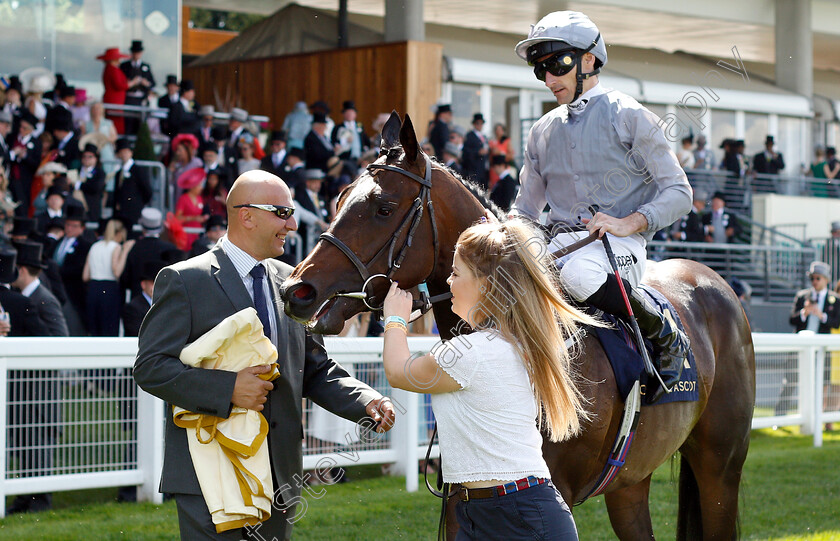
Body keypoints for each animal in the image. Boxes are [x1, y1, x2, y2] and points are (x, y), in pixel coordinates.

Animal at [280, 112, 756, 536]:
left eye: (383, 207)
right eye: (339, 199)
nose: (296, 289)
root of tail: (714, 281)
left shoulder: (552, 489)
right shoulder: (464, 496)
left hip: (721, 468)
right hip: (631, 481)